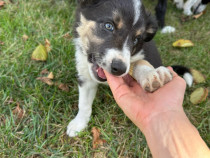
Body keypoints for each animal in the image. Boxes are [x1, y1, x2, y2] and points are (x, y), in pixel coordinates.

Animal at [66, 0, 193, 137]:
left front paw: (150, 75)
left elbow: (139, 62)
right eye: (108, 26)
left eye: (136, 40)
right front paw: (78, 124)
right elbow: (84, 104)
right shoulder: (85, 77)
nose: (119, 69)